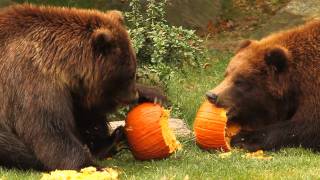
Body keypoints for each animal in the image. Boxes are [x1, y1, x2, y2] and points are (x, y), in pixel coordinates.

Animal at [0, 3, 166, 170]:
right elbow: (49, 130)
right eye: (130, 74)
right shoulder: (31, 79)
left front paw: (154, 95)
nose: (133, 97)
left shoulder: (75, 90)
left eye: (134, 71)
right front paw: (93, 166)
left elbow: (88, 113)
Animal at [206, 21, 320, 153]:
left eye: (239, 81)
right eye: (226, 74)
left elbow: (307, 124)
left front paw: (243, 139)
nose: (212, 95)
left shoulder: (313, 88)